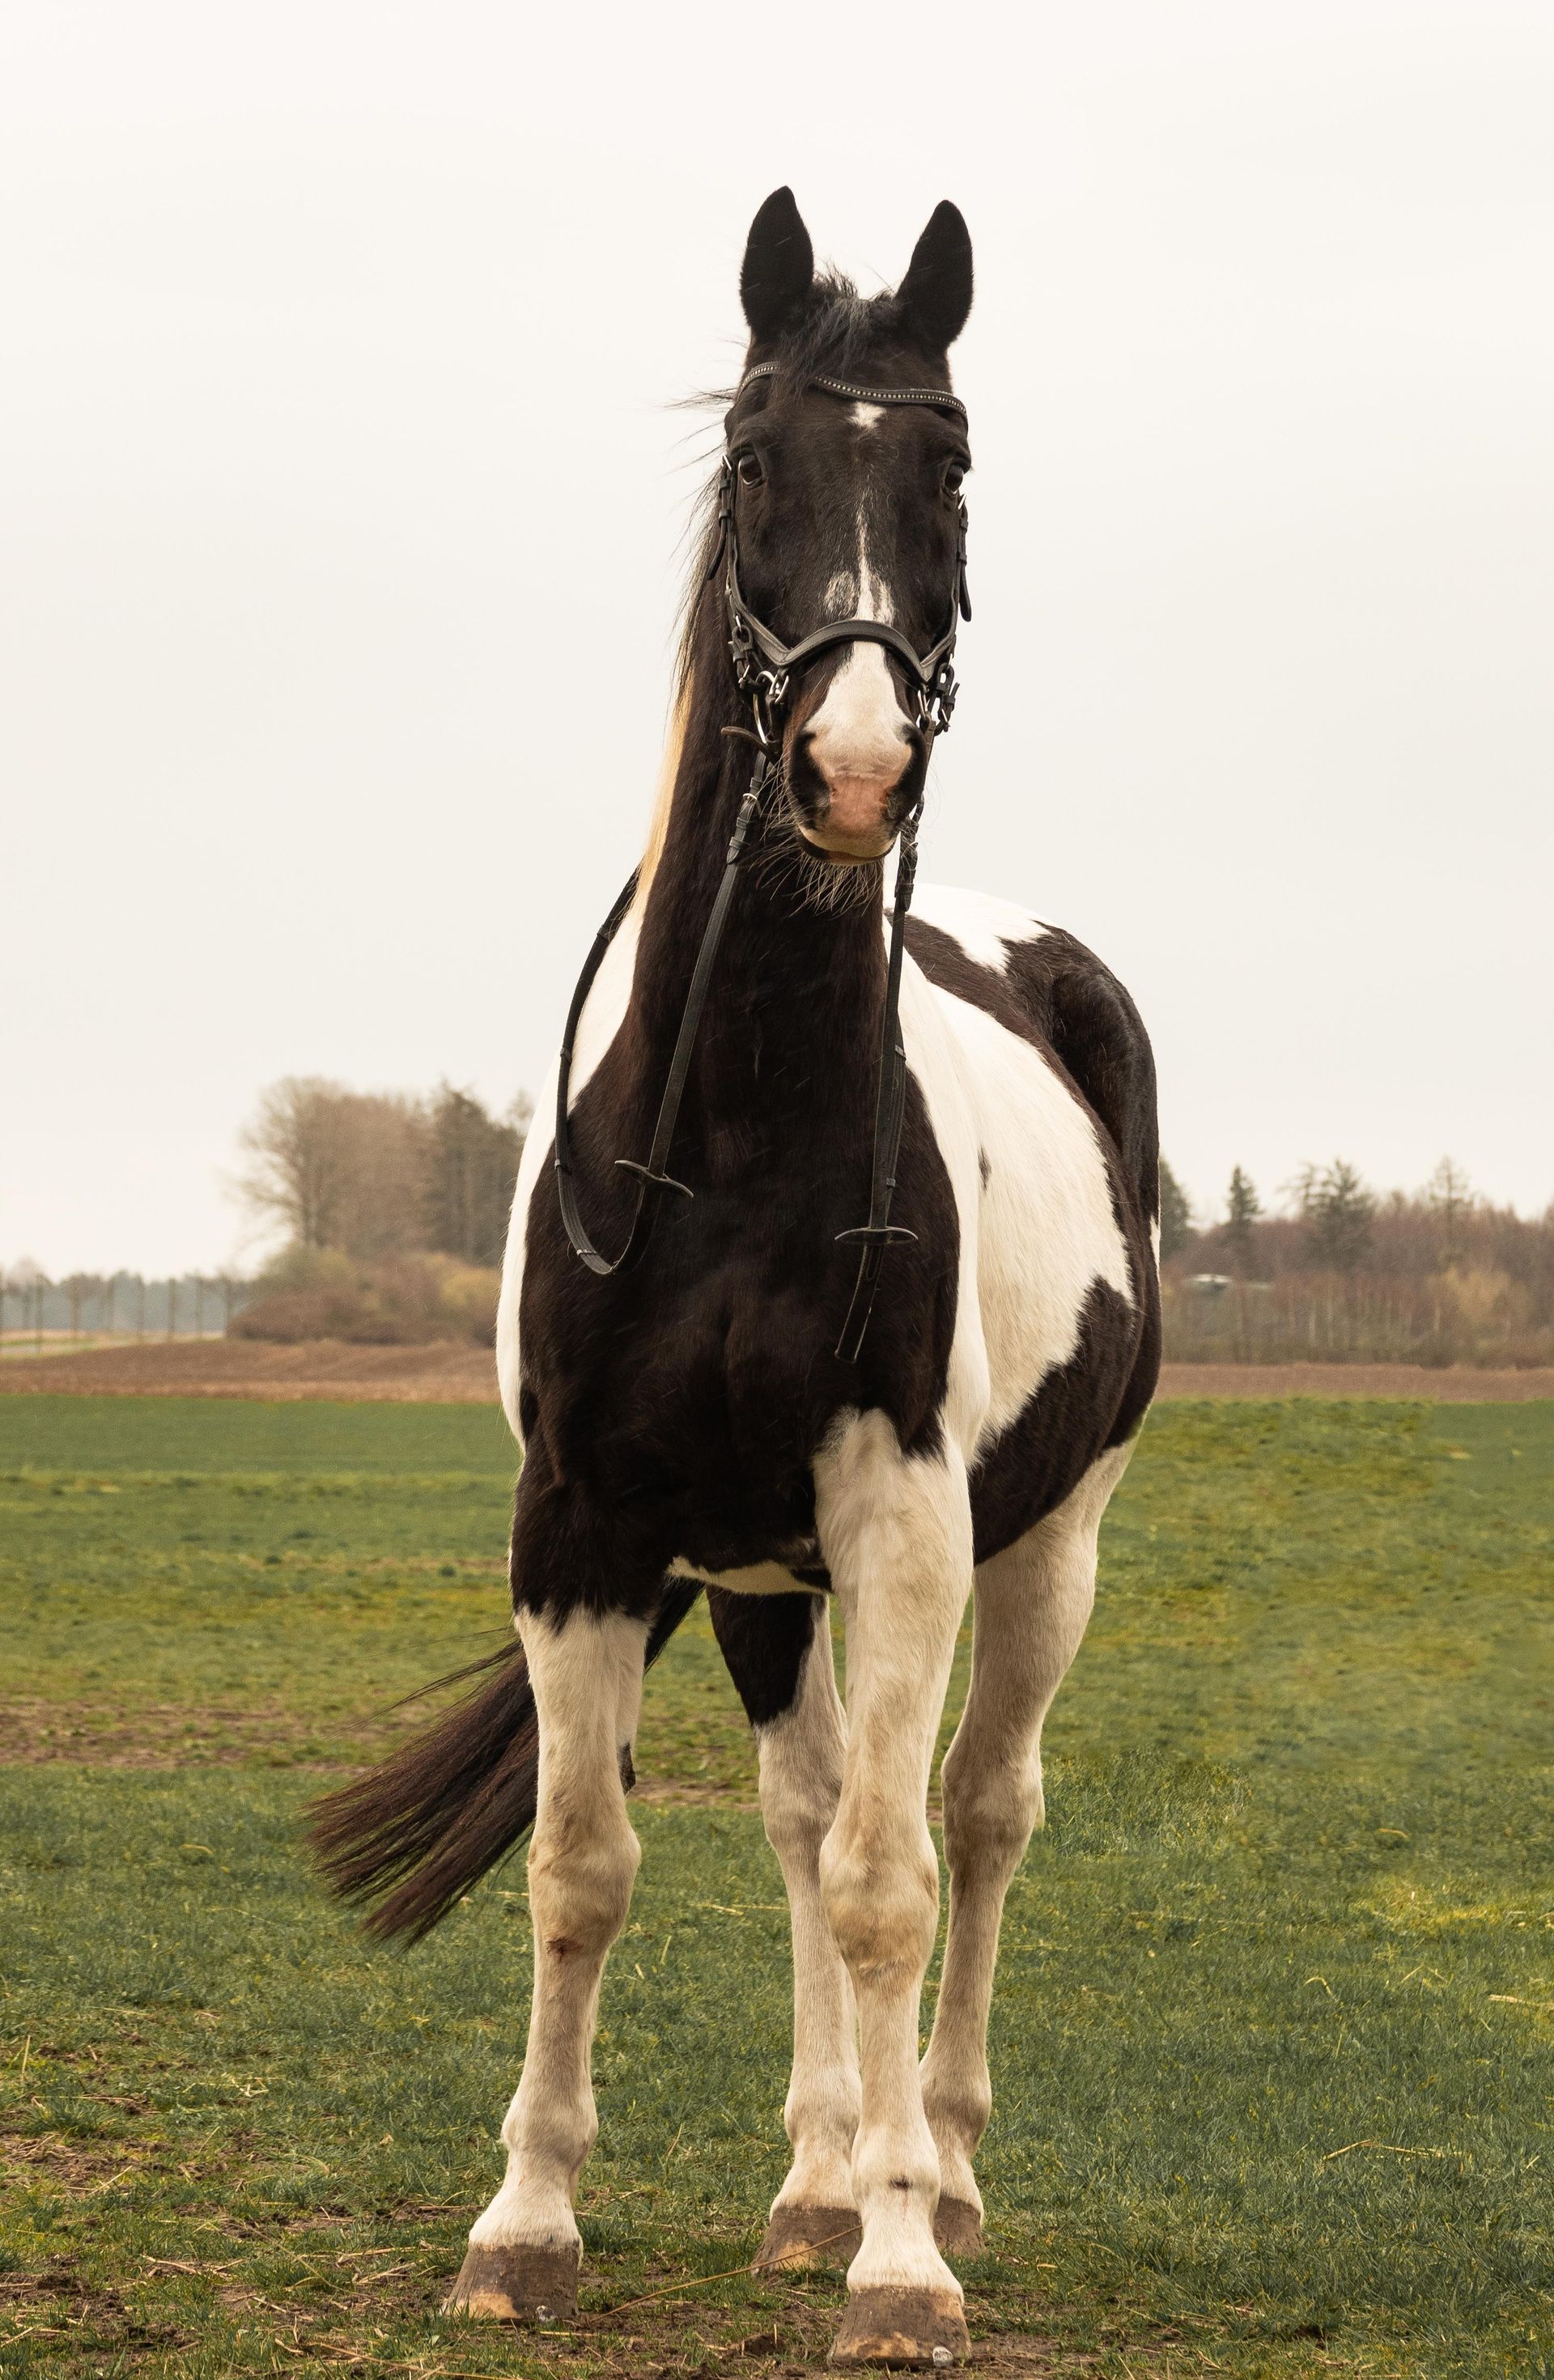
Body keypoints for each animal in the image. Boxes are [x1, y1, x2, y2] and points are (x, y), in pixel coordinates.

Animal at [313, 187, 1161, 2371]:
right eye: (758, 458)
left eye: (949, 466)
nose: (848, 769)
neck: (739, 1128)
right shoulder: (583, 1524)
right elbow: (585, 1869)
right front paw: (526, 2226)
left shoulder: (901, 1518)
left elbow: (888, 1880)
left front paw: (901, 2268)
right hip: (768, 1580)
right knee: (802, 1809)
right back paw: (813, 2178)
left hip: (1046, 1541)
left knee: (976, 1816)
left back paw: (930, 2168)